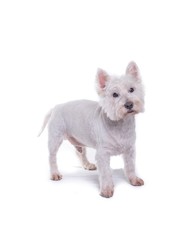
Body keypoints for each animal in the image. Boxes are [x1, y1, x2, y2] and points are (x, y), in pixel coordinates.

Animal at [38, 61, 144, 197]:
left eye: (132, 89)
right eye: (115, 94)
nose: (129, 104)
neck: (120, 123)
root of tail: (56, 107)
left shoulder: (130, 149)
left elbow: (130, 166)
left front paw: (134, 180)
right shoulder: (103, 153)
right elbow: (105, 172)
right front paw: (106, 190)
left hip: (78, 139)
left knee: (80, 152)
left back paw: (87, 165)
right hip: (55, 136)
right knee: (52, 156)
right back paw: (55, 174)